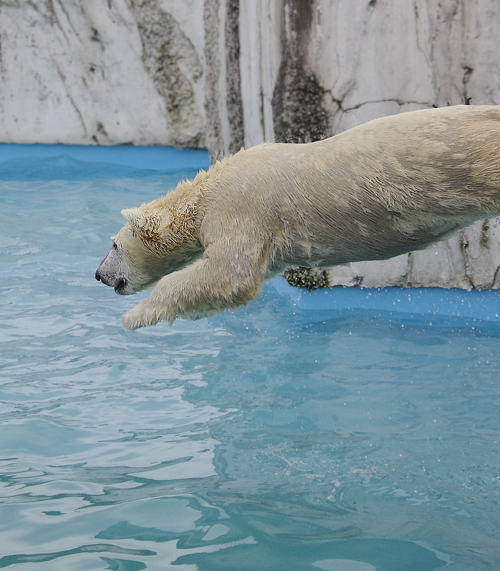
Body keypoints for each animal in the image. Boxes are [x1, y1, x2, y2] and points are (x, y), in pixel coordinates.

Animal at [95, 106, 500, 330]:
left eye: (113, 244)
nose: (99, 274)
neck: (205, 192)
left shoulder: (240, 208)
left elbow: (229, 273)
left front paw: (134, 317)